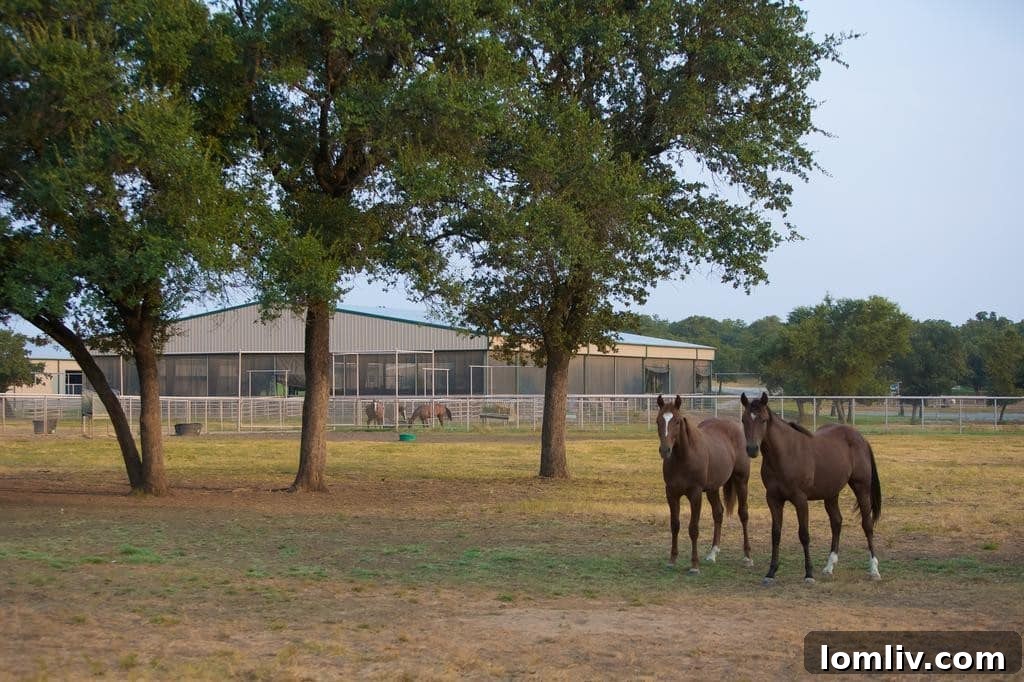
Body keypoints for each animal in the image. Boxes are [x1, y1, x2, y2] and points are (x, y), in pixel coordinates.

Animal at [656, 395, 753, 574]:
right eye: (658, 420)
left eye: (677, 421)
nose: (665, 450)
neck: (684, 457)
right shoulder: (671, 493)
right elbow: (675, 525)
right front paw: (672, 560)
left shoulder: (695, 494)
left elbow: (693, 529)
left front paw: (694, 565)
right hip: (712, 489)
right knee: (718, 513)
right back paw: (713, 553)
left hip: (741, 481)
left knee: (743, 514)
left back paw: (747, 557)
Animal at [740, 392, 882, 585]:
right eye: (744, 419)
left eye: (763, 420)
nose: (752, 449)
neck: (785, 454)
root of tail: (860, 438)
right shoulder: (773, 499)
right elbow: (775, 534)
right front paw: (771, 572)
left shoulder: (800, 500)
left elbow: (804, 535)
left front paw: (808, 574)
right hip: (831, 494)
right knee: (836, 522)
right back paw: (829, 567)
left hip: (861, 488)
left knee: (867, 525)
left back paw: (874, 569)